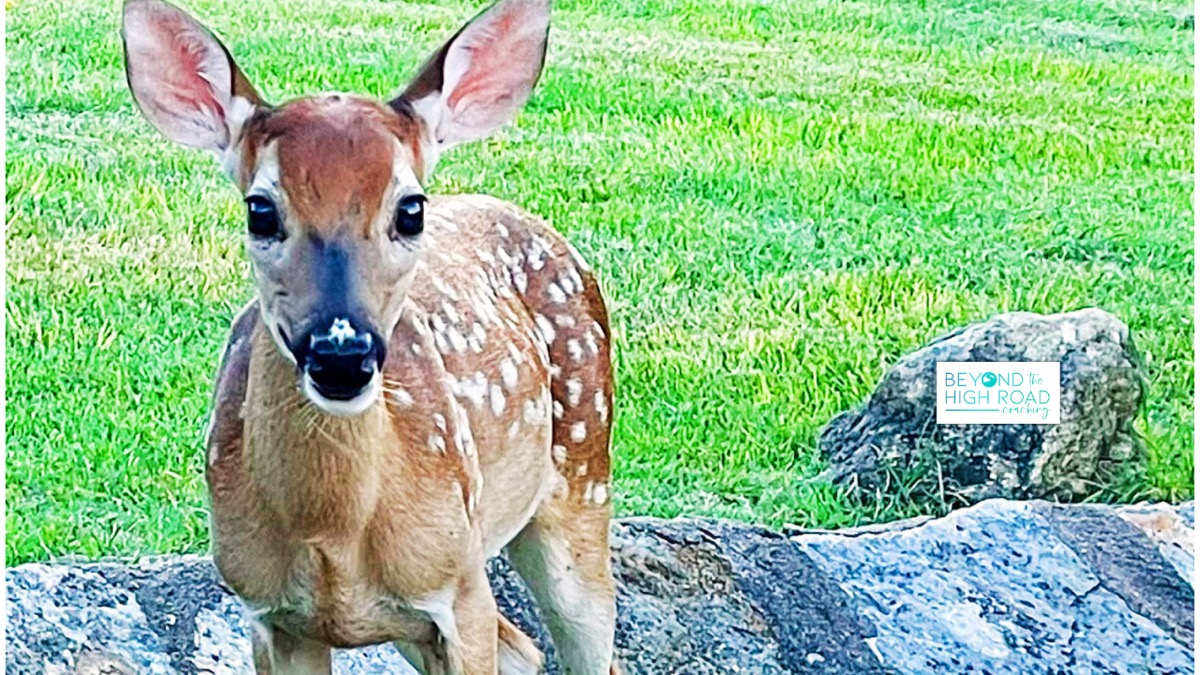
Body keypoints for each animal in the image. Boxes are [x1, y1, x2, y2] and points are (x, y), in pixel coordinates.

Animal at [121, 0, 620, 672]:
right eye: (260, 209)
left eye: (411, 209)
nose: (341, 356)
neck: (336, 535)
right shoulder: (268, 614)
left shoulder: (459, 592)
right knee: (525, 651)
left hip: (584, 471)